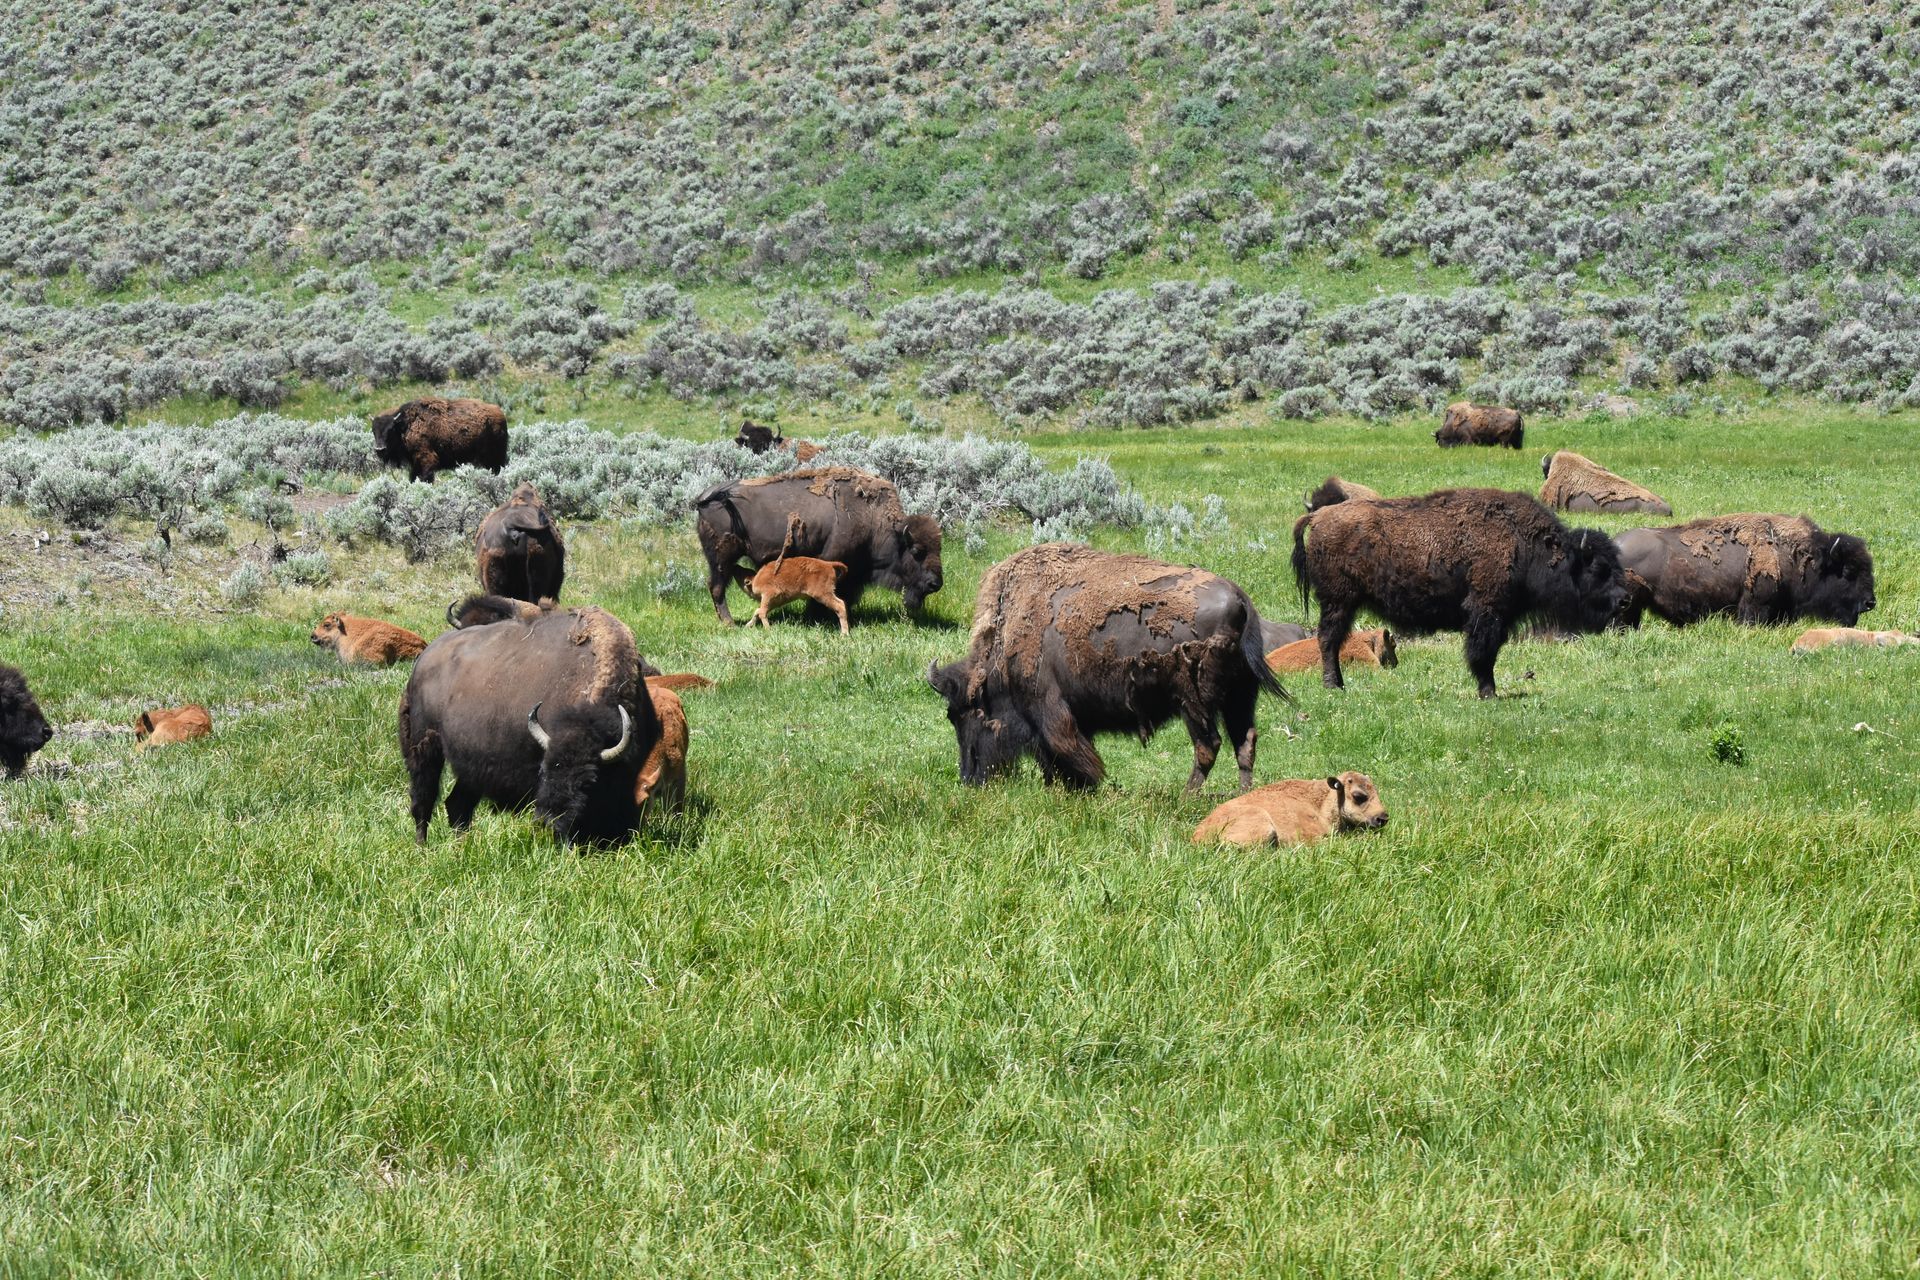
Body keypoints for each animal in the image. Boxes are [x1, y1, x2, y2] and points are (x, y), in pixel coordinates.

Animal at [371, 397, 508, 483]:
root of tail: (499, 413)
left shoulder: (426, 458)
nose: (380, 449)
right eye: (373, 431)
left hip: (493, 457)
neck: (406, 426)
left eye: (390, 430)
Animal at [399, 597, 660, 845]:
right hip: (424, 748)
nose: (548, 824)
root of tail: (425, 659)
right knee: (423, 800)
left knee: (457, 804)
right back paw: (422, 846)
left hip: (470, 766)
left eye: (589, 782)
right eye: (542, 771)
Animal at [695, 466, 942, 626]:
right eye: (917, 551)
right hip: (721, 557)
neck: (872, 519)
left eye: (939, 549)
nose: (935, 584)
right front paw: (817, 617)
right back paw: (729, 623)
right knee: (716, 587)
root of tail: (706, 497)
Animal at [927, 543, 1287, 792]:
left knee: (1208, 745)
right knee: (1245, 742)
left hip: (1194, 703)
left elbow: (1065, 751)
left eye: (963, 714)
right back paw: (1241, 795)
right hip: (1239, 697)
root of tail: (1241, 600)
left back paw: (1187, 796)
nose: (970, 778)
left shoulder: (1049, 709)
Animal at [1293, 488, 1625, 697]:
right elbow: (1483, 652)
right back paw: (1334, 686)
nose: (1624, 599)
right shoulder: (1486, 611)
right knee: (1328, 639)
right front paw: (1489, 692)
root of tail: (1318, 517)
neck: (1527, 545)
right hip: (1338, 600)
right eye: (1598, 568)